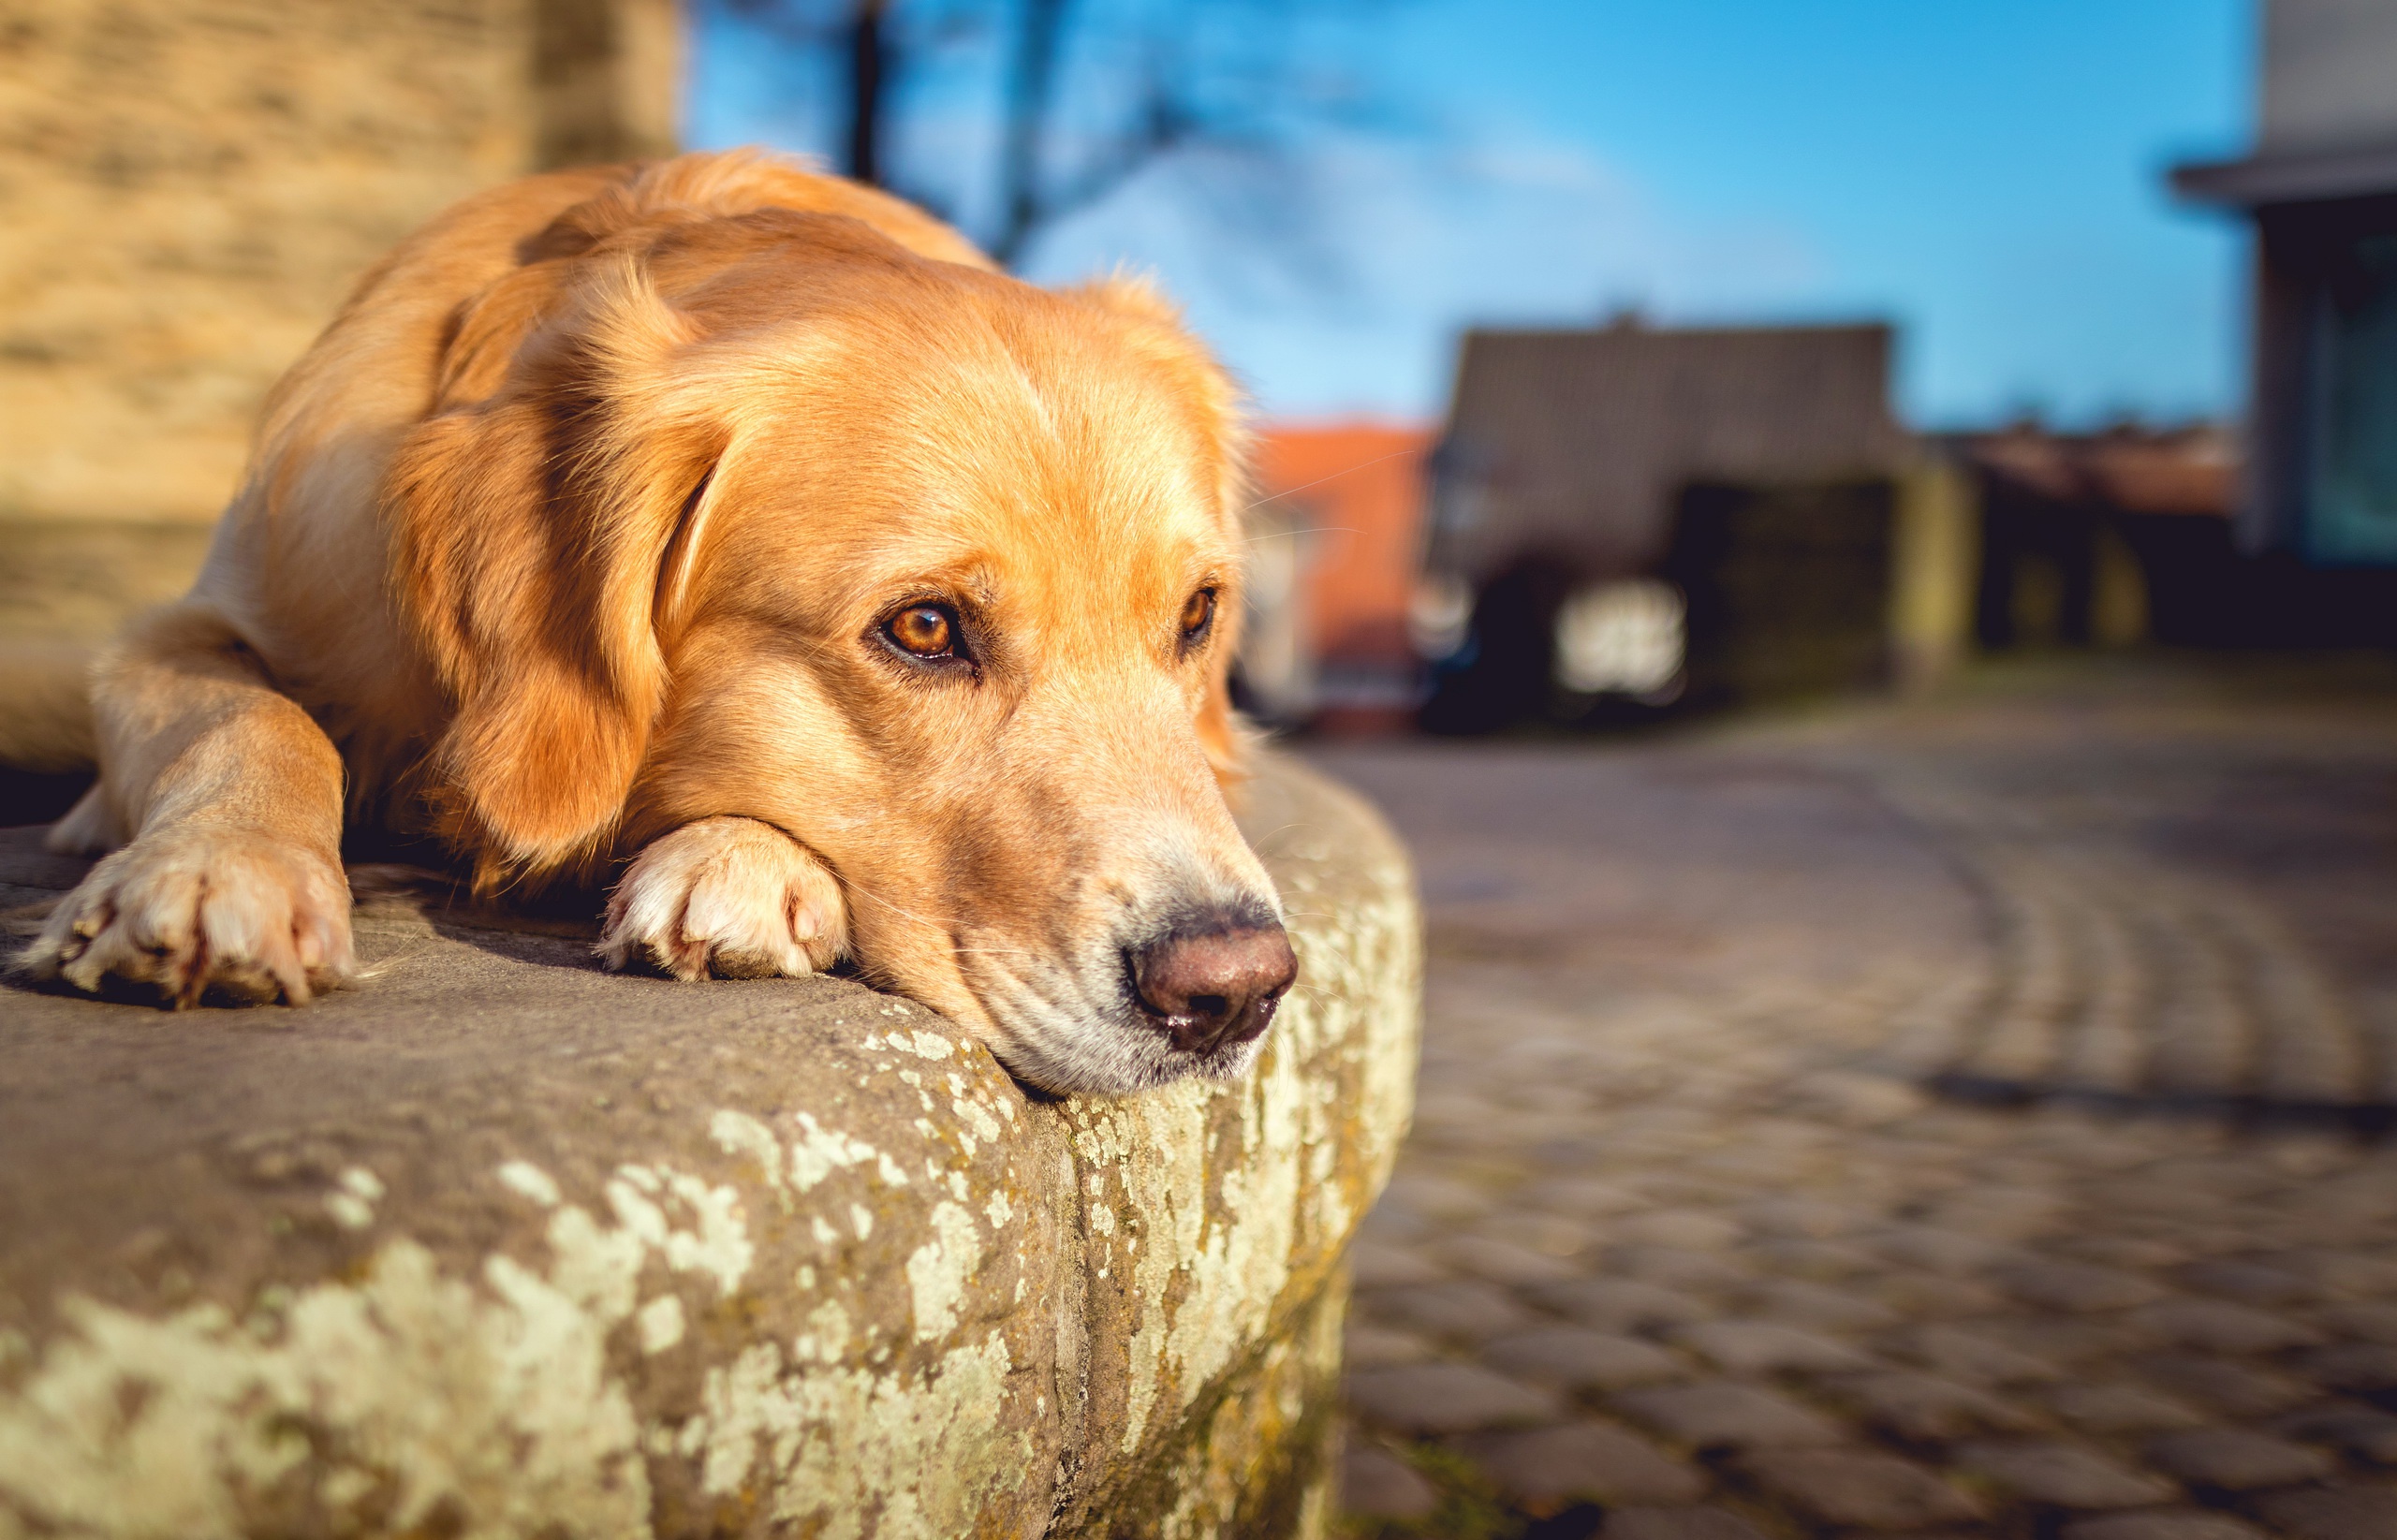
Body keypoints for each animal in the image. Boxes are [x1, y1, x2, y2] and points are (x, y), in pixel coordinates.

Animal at [14, 147, 1294, 1096]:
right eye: (925, 628)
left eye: (1197, 614)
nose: (1236, 988)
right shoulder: (197, 618)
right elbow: (253, 715)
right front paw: (216, 866)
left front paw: (739, 861)